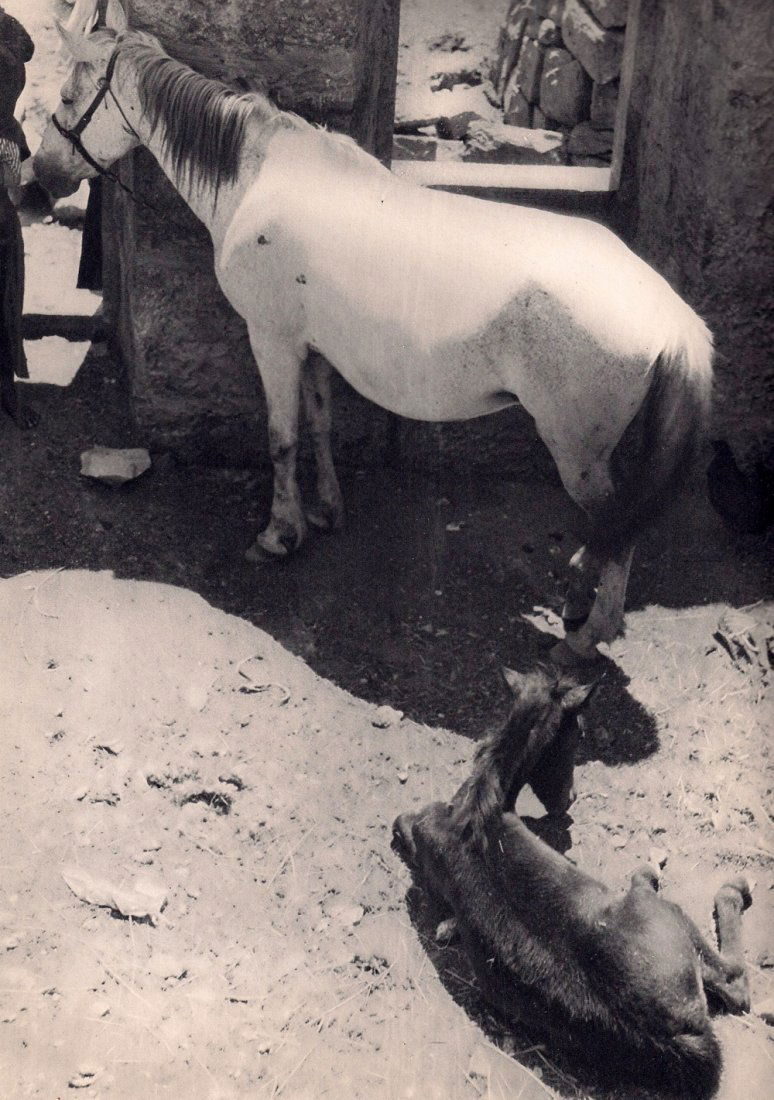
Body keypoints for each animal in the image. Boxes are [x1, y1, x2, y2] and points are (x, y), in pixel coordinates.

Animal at [34, 0, 714, 663]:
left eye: (67, 97)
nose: (40, 174)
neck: (258, 177)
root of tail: (668, 314)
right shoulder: (312, 348)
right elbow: (319, 424)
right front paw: (326, 511)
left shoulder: (272, 339)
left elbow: (281, 438)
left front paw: (279, 535)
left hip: (577, 451)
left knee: (619, 525)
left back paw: (587, 635)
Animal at [393, 666, 752, 1098]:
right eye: (578, 732)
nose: (571, 798)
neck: (478, 808)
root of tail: (682, 1040)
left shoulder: (418, 828)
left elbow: (402, 827)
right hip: (661, 909)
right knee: (734, 979)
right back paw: (727, 887)